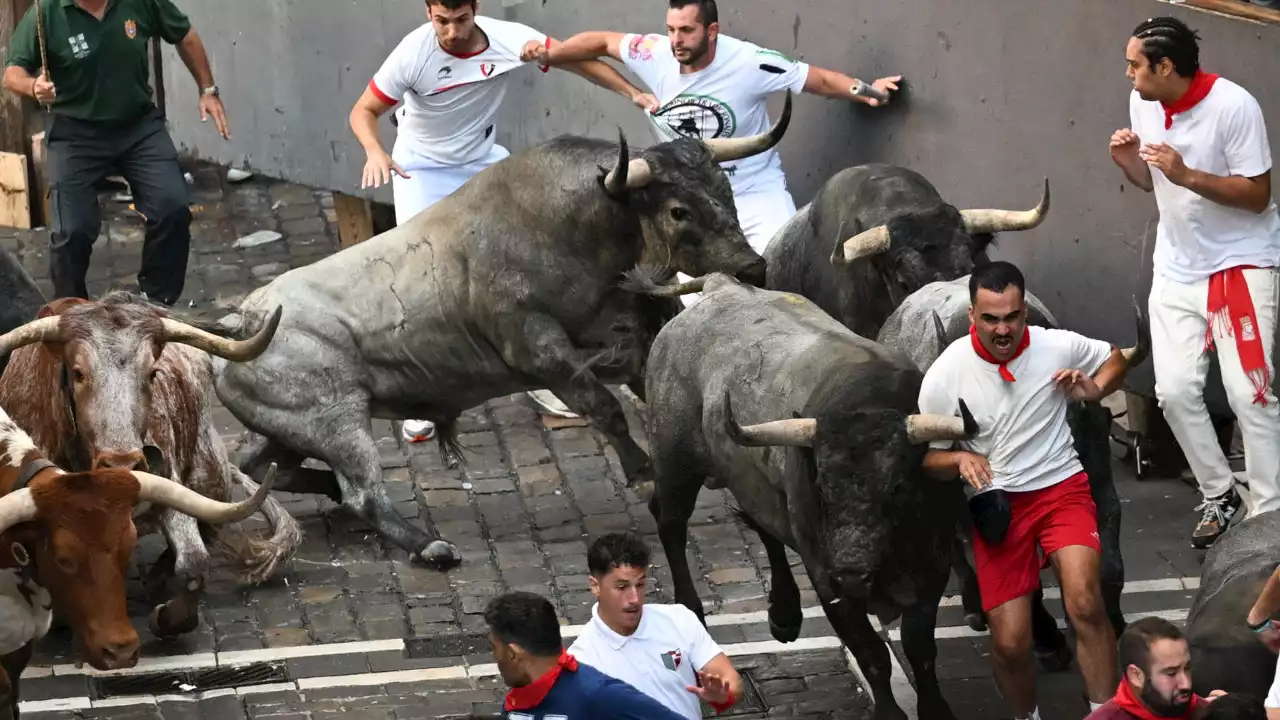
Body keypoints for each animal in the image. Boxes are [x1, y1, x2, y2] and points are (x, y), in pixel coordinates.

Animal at [207, 96, 788, 566]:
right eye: (677, 210)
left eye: (725, 188)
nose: (753, 267)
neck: (579, 227)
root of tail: (242, 320)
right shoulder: (541, 351)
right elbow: (605, 407)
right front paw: (644, 472)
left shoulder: (635, 337)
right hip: (338, 421)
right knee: (362, 494)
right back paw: (430, 546)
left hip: (287, 429)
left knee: (255, 468)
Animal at [637, 271, 977, 717]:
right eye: (823, 486)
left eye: (899, 487)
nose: (852, 571)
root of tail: (718, 285)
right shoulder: (826, 578)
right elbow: (872, 654)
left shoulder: (932, 567)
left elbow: (920, 649)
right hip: (674, 460)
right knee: (670, 522)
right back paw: (692, 609)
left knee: (760, 526)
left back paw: (784, 614)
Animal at [880, 274, 1152, 666]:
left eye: (1091, 419)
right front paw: (1048, 638)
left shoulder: (1097, 473)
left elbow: (1108, 543)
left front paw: (1111, 618)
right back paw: (976, 604)